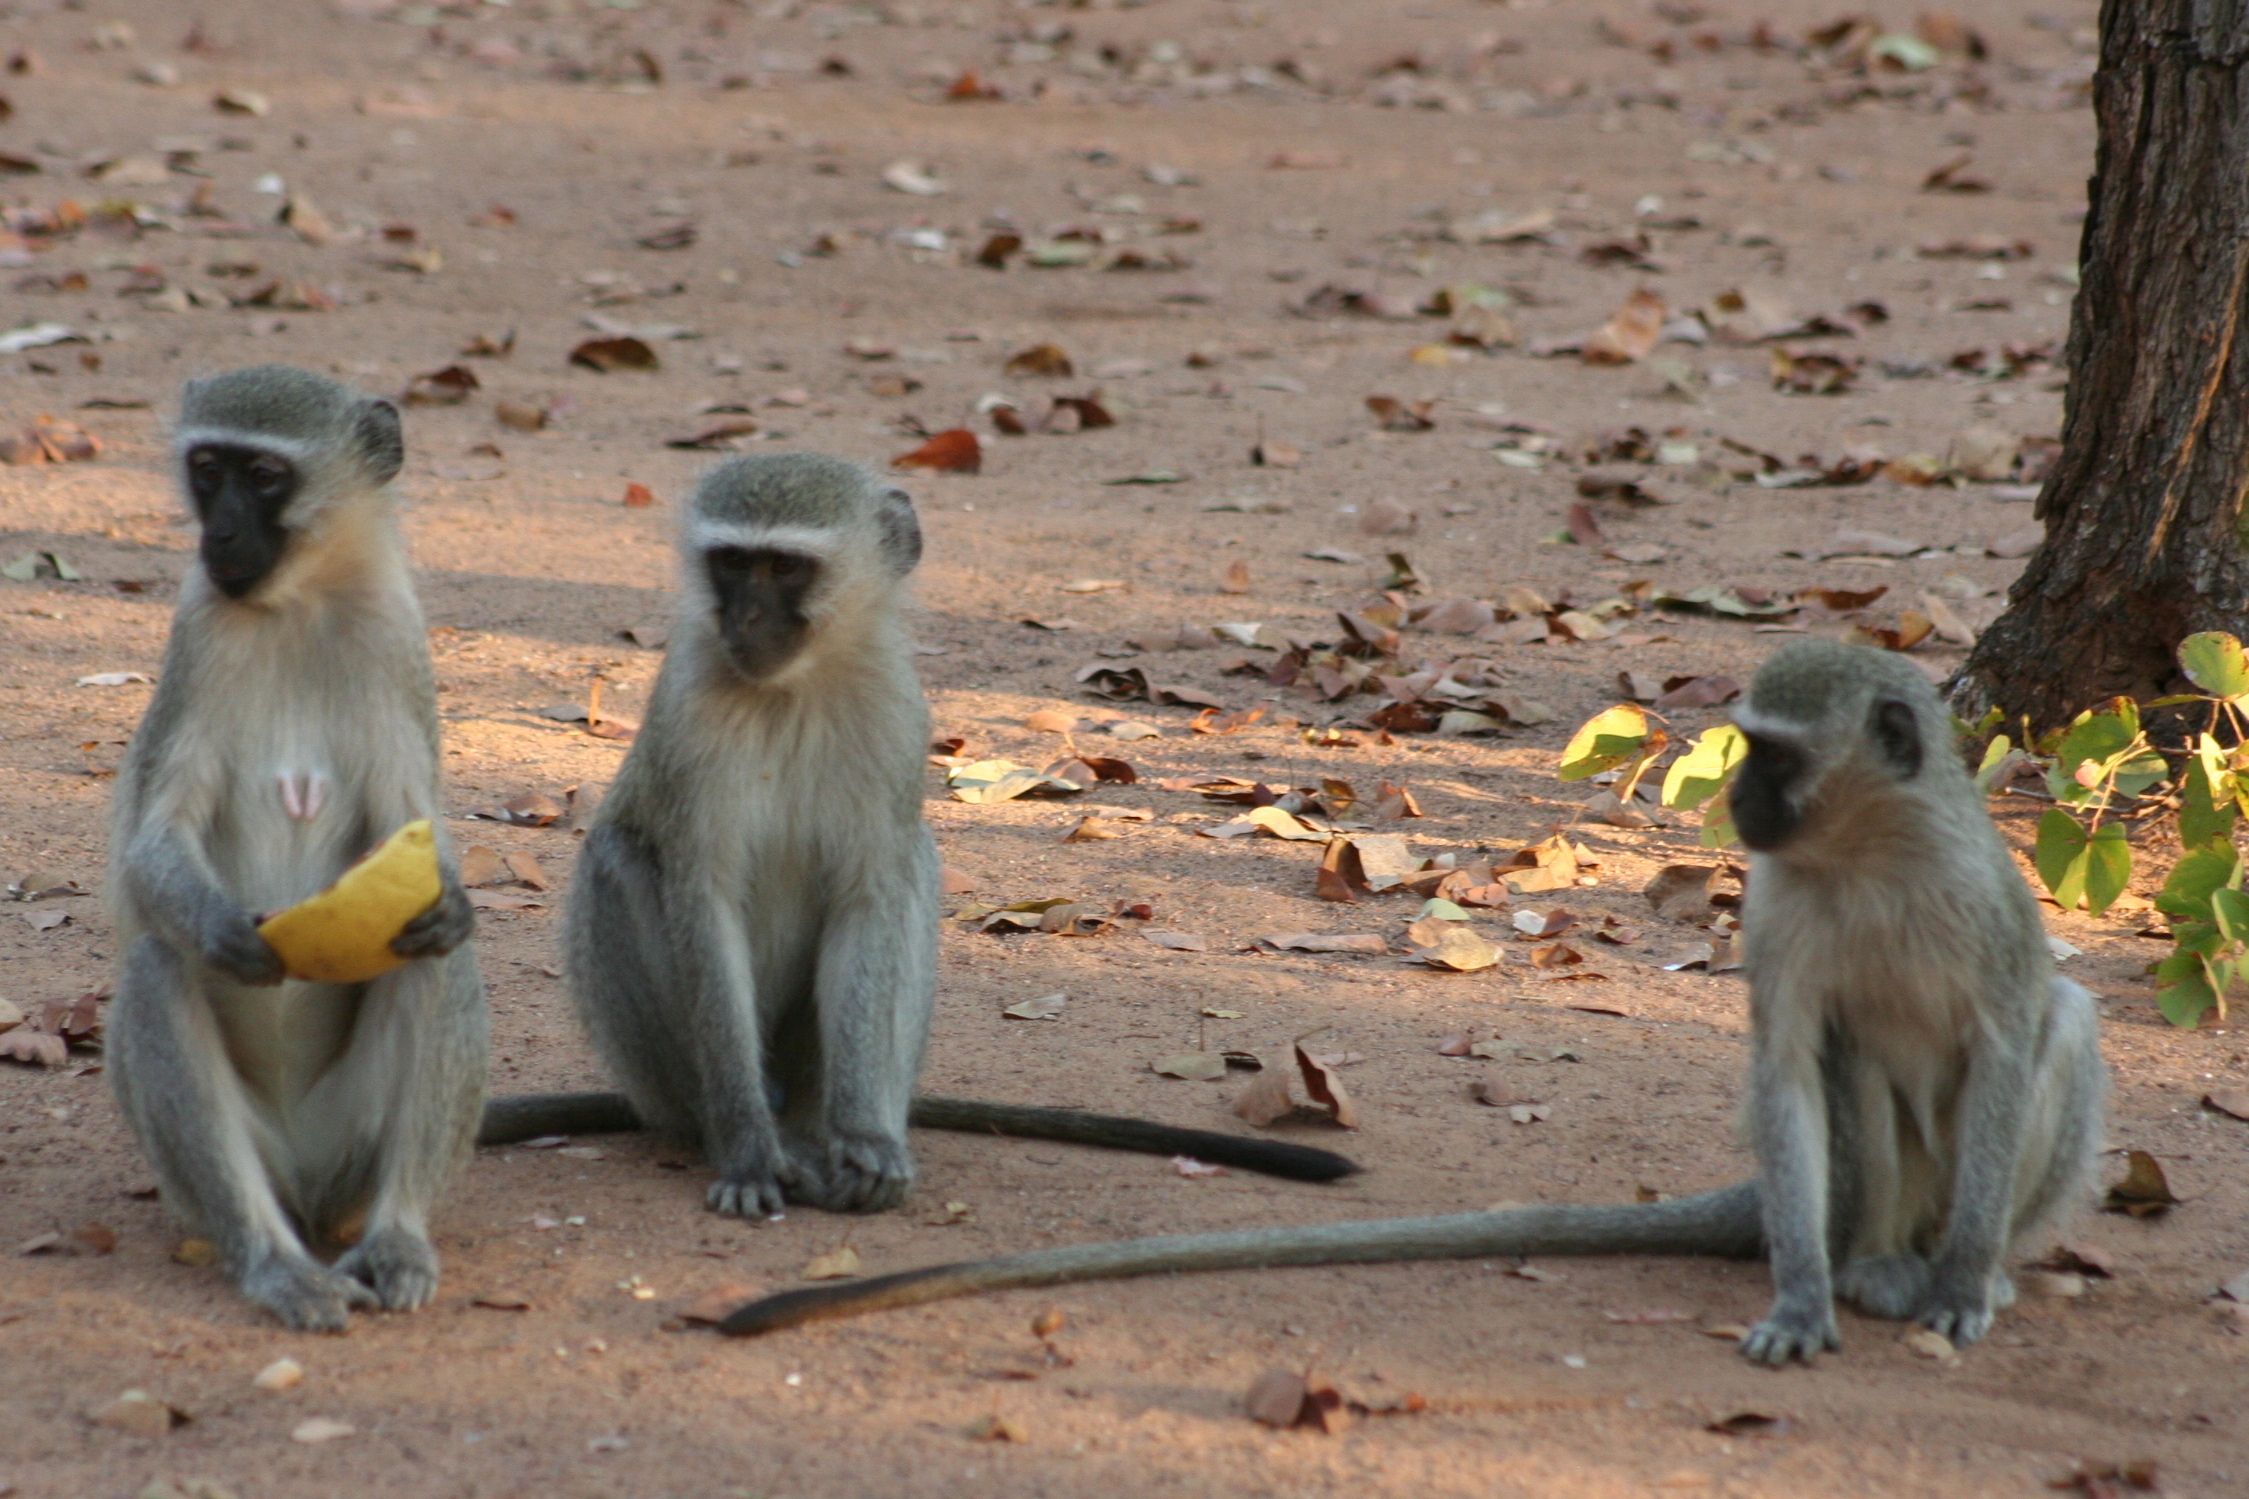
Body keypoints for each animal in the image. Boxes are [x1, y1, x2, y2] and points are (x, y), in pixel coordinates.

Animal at [107, 368, 485, 1330]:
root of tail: (309, 1189)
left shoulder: (395, 636)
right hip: (235, 1169)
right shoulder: (198, 635)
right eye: (207, 469)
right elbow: (152, 844)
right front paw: (224, 931)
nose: (219, 533)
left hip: (348, 1143)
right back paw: (273, 1260)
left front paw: (455, 901)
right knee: (157, 968)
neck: (299, 601)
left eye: (266, 476)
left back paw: (396, 1237)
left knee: (433, 961)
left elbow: (415, 830)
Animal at [476, 453, 1349, 1222]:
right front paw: (748, 1150)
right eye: (730, 564)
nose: (743, 618)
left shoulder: (900, 715)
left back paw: (829, 1133)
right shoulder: (689, 721)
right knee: (621, 860)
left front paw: (866, 1138)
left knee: (908, 868)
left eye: (784, 568)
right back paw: (746, 1134)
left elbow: (871, 897)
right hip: (658, 1073)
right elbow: (702, 899)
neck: (797, 688)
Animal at [715, 638, 2105, 1366]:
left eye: (1774, 756)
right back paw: (1862, 1264)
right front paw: (1801, 1297)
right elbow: (1783, 1061)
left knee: (2060, 1023)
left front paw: (1963, 1283)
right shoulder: (1777, 906)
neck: (1864, 855)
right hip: (1868, 1179)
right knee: (1845, 1066)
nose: (1736, 802)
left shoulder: (1976, 897)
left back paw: (1960, 1265)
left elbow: (2004, 1037)